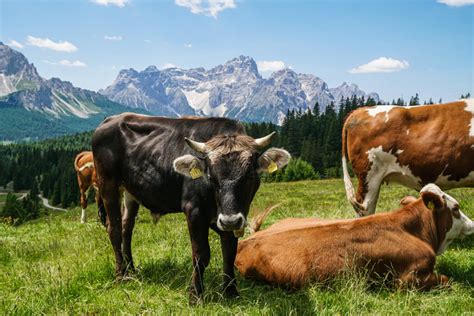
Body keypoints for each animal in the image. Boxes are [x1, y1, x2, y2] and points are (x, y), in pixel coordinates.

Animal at [91, 113, 290, 302]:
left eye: (249, 176)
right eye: (211, 177)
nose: (230, 221)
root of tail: (111, 119)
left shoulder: (231, 218)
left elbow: (229, 251)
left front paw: (231, 292)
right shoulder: (194, 211)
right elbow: (201, 254)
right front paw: (195, 295)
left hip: (131, 191)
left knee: (127, 227)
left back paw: (131, 269)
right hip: (108, 183)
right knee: (114, 229)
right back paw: (121, 275)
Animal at [236, 184, 474, 290]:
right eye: (456, 208)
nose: (472, 224)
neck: (414, 230)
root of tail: (245, 242)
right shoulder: (409, 278)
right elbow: (447, 280)